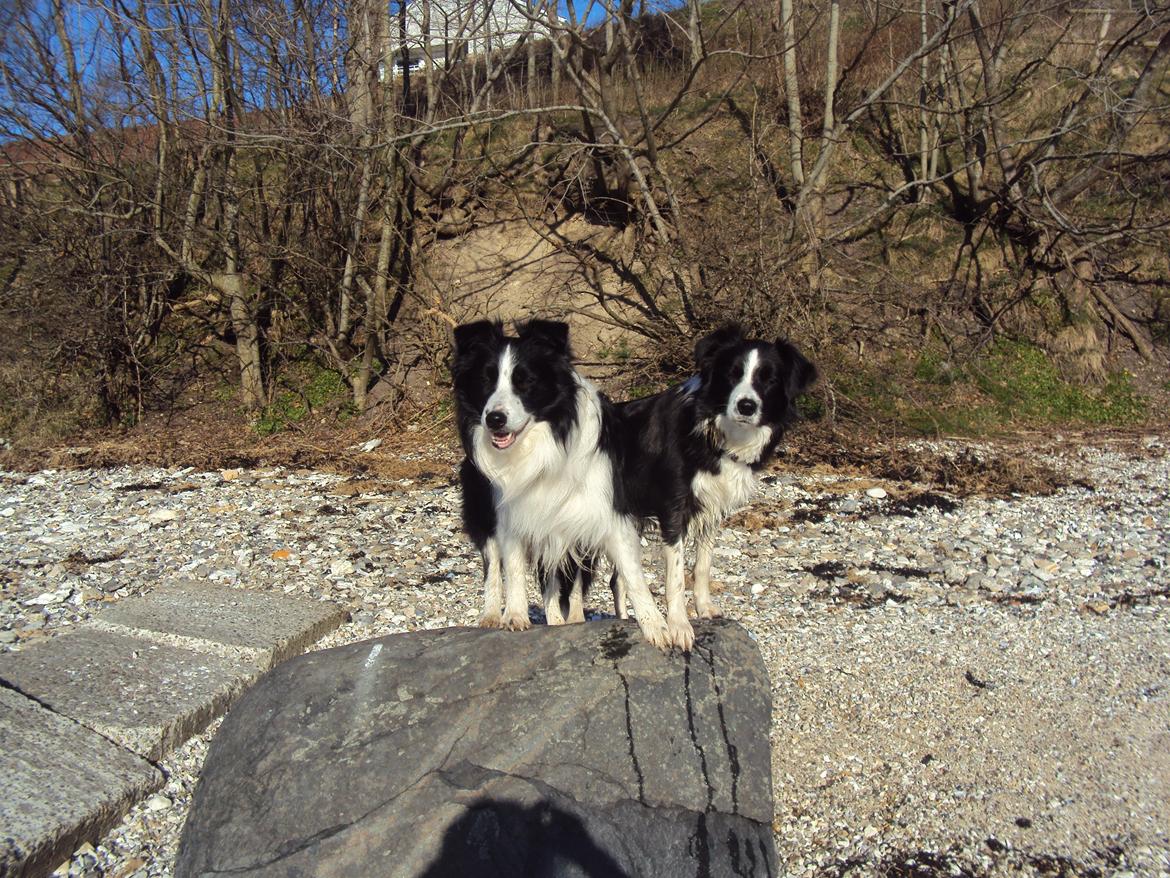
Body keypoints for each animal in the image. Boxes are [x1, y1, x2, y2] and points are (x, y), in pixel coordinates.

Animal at [449, 320, 683, 650]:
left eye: (526, 381)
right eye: (486, 380)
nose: (494, 419)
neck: (544, 442)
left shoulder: (608, 511)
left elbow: (632, 574)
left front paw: (656, 626)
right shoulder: (511, 513)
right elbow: (513, 566)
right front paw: (515, 616)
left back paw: (568, 621)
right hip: (485, 508)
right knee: (495, 564)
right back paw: (493, 614)